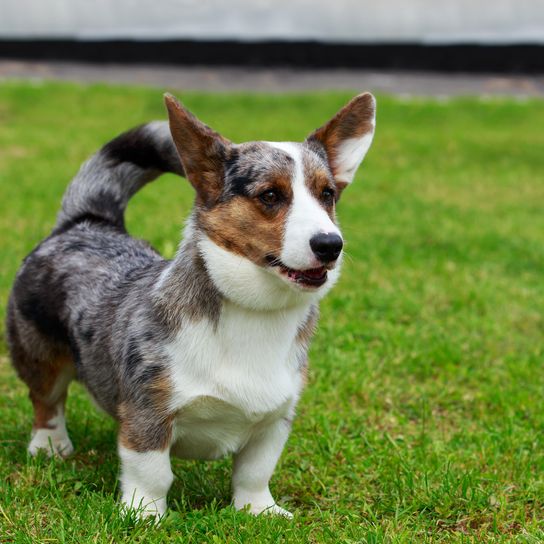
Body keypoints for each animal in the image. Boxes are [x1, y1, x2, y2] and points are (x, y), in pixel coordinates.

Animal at [6, 93, 376, 520]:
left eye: (327, 194)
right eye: (270, 195)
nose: (331, 245)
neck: (255, 313)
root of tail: (84, 222)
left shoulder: (275, 420)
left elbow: (255, 471)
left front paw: (259, 511)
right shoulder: (148, 413)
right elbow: (152, 473)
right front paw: (144, 515)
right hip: (40, 354)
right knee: (47, 399)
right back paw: (50, 446)